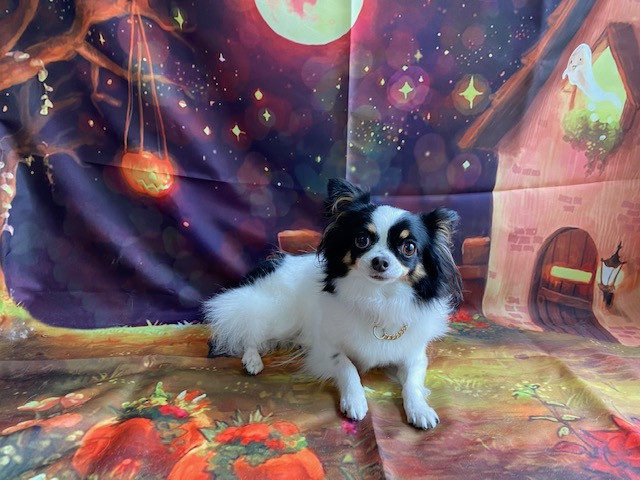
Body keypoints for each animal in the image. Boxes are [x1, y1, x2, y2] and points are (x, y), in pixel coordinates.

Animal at [203, 178, 463, 429]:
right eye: (361, 240)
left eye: (409, 247)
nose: (380, 261)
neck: (378, 297)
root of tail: (271, 264)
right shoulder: (325, 347)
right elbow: (347, 366)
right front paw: (355, 400)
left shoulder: (414, 355)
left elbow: (412, 383)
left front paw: (420, 409)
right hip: (278, 315)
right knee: (249, 330)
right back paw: (252, 360)